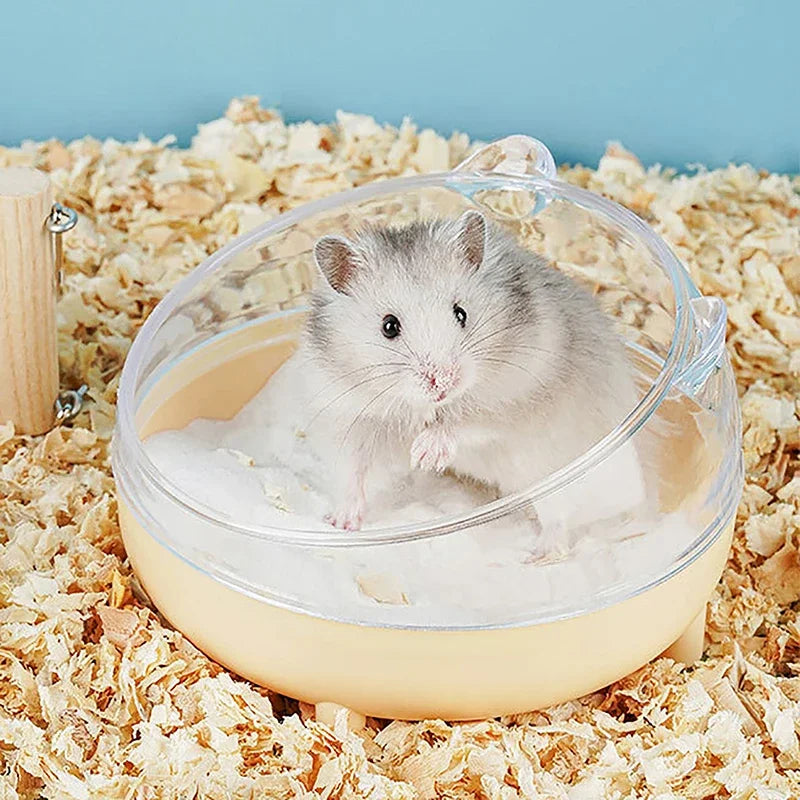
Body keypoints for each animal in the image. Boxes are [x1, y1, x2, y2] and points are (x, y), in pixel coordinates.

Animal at [304, 210, 646, 540]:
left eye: (461, 313)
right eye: (389, 326)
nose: (444, 382)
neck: (431, 405)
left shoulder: (516, 397)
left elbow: (470, 421)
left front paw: (425, 453)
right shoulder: (351, 417)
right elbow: (353, 473)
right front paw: (341, 524)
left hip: (559, 476)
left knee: (561, 520)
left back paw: (539, 552)